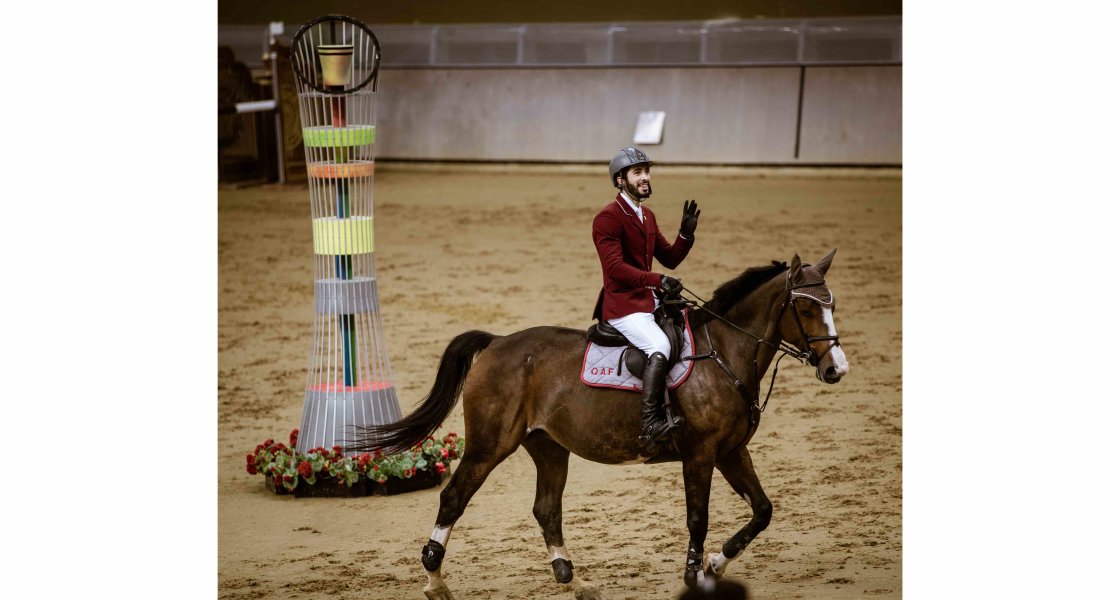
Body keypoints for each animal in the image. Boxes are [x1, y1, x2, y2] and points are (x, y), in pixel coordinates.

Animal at [349, 248, 846, 595]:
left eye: (833, 305)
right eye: (805, 309)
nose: (835, 370)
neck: (722, 353)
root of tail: (497, 342)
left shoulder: (730, 451)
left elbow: (762, 511)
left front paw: (714, 565)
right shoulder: (701, 454)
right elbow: (698, 518)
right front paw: (695, 576)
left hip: (548, 447)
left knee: (546, 509)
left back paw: (575, 581)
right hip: (490, 446)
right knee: (454, 498)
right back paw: (435, 581)